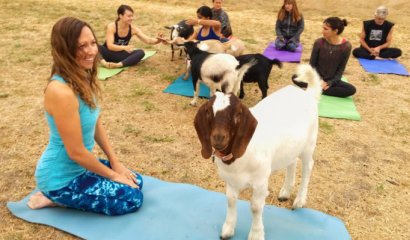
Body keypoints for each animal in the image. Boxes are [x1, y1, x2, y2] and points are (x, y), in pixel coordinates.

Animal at [194, 63, 322, 240]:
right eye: (208, 112)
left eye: (237, 114)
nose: (218, 138)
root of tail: (308, 94)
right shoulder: (230, 181)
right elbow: (230, 200)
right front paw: (228, 229)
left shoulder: (261, 181)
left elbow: (255, 207)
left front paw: (256, 234)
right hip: (292, 145)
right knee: (292, 163)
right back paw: (285, 192)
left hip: (309, 144)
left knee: (308, 166)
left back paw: (299, 200)